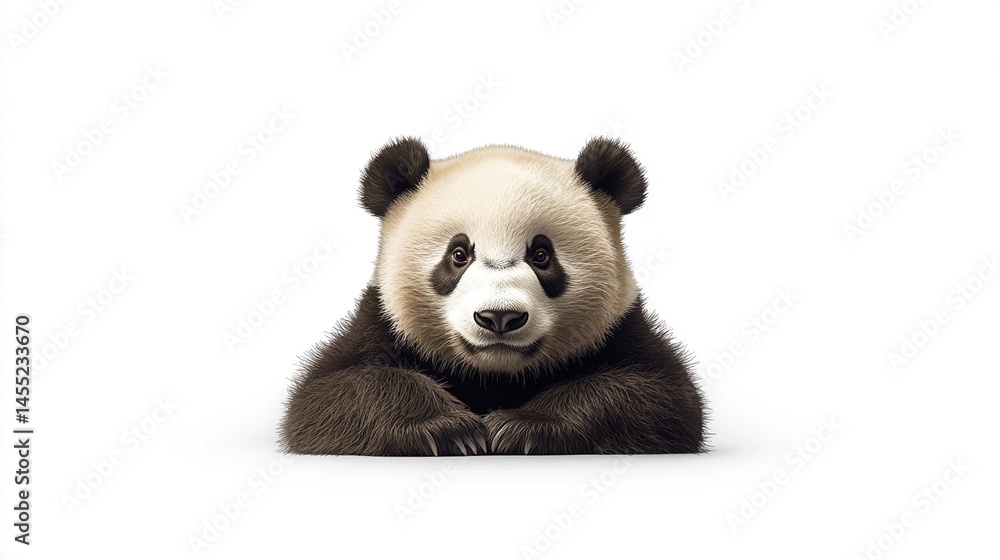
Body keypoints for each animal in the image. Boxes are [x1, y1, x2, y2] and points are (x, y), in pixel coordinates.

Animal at [280, 137, 706, 455]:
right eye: (458, 255)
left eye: (541, 255)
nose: (499, 317)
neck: (494, 373)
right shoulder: (382, 324)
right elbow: (327, 395)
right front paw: (451, 431)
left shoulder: (620, 328)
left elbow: (660, 398)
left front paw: (518, 428)